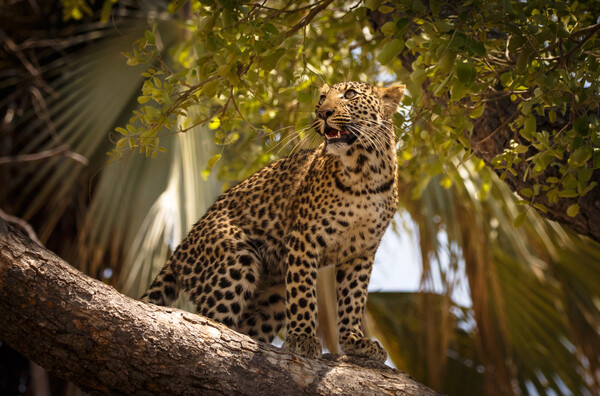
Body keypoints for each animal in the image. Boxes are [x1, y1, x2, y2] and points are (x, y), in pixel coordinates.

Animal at [141, 80, 404, 362]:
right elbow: (303, 293)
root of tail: (182, 247)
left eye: (350, 95)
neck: (366, 171)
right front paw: (302, 338)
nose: (323, 113)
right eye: (322, 98)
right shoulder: (305, 236)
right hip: (235, 260)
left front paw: (354, 341)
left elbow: (353, 299)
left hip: (273, 299)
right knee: (207, 323)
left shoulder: (361, 252)